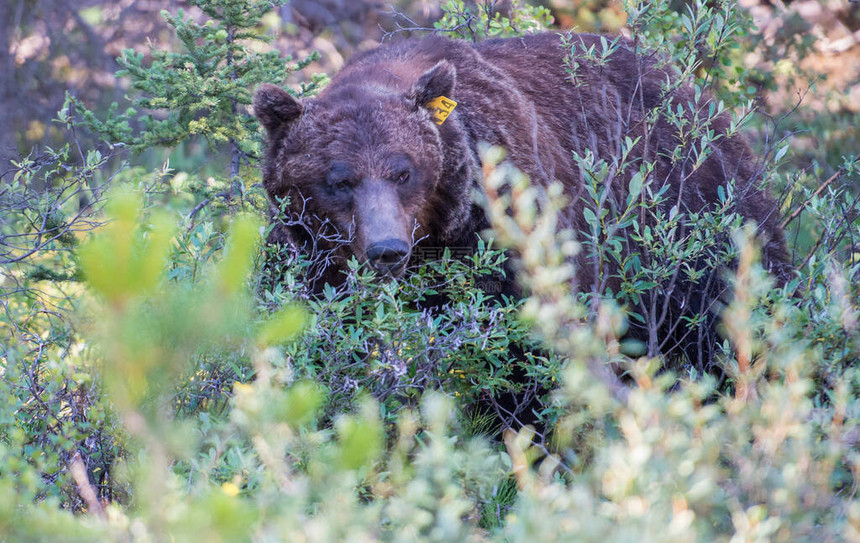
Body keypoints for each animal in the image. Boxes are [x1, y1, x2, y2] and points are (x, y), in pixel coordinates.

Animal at [255, 33, 792, 374]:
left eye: (402, 172)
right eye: (340, 179)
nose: (387, 249)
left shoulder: (510, 224)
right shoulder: (310, 261)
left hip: (699, 207)